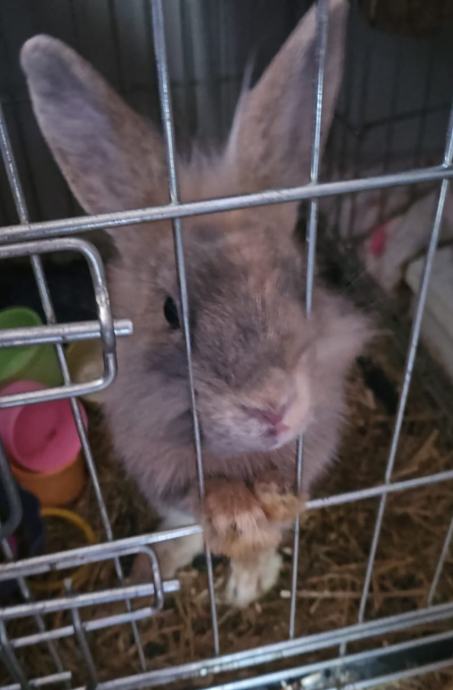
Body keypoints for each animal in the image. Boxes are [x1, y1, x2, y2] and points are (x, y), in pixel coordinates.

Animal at [20, 0, 371, 608]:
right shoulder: (158, 460)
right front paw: (236, 513)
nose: (272, 408)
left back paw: (244, 583)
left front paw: (265, 513)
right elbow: (196, 494)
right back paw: (148, 575)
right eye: (170, 313)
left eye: (294, 286)